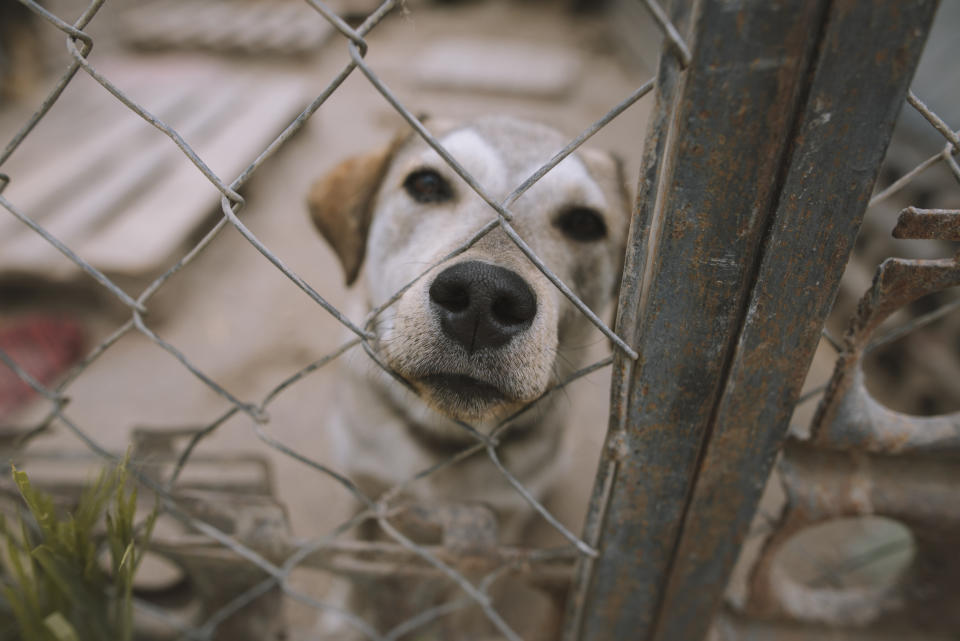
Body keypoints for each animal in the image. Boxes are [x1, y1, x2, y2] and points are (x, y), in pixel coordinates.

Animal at [312, 116, 632, 640]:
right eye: (426, 184)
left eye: (584, 223)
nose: (484, 296)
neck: (443, 439)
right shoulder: (360, 482)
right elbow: (351, 560)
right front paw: (342, 621)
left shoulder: (494, 526)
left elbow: (466, 595)